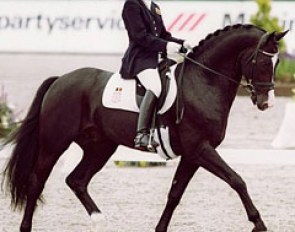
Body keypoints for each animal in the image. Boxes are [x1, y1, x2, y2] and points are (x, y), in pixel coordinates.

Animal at [1, 24, 290, 231]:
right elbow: (237, 180)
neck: (203, 82)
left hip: (100, 146)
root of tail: (61, 79)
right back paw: (27, 227)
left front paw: (159, 228)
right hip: (55, 143)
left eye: (277, 63)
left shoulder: (192, 155)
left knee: (76, 180)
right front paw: (259, 224)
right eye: (263, 62)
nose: (267, 103)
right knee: (37, 181)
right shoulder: (200, 149)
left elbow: (175, 194)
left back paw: (100, 220)